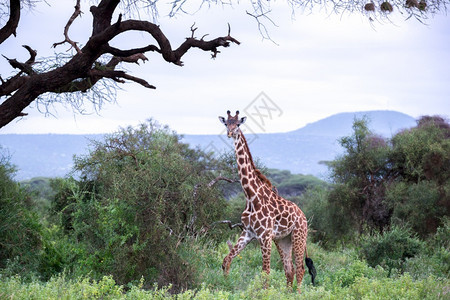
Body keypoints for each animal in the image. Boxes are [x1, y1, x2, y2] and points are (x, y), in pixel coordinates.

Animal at [219, 109, 316, 290]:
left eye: (238, 124)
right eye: (226, 123)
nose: (230, 133)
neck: (250, 196)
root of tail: (303, 216)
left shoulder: (264, 235)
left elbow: (265, 272)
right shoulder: (248, 232)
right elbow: (226, 260)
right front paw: (226, 287)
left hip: (299, 235)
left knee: (299, 269)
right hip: (283, 239)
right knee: (289, 269)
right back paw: (288, 293)